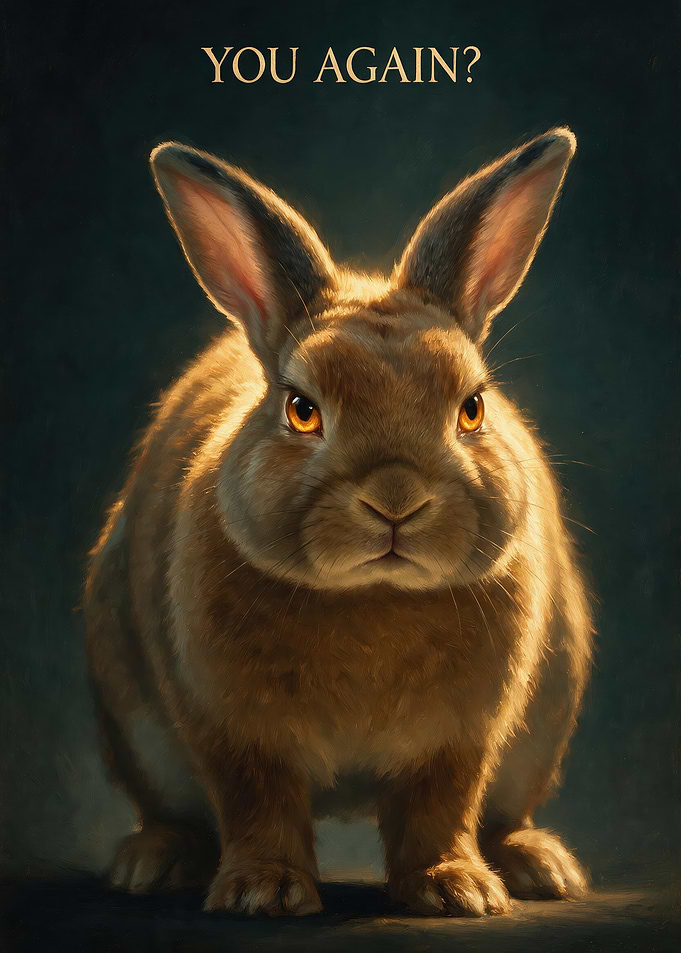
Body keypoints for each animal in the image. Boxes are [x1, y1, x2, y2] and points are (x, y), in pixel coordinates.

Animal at [84, 127, 593, 918]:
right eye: (301, 410)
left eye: (472, 407)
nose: (395, 497)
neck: (372, 596)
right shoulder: (232, 730)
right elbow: (257, 802)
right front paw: (263, 890)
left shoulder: (460, 739)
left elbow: (440, 806)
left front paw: (456, 891)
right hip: (136, 728)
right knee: (174, 811)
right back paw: (153, 862)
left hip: (542, 732)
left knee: (503, 812)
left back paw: (538, 866)